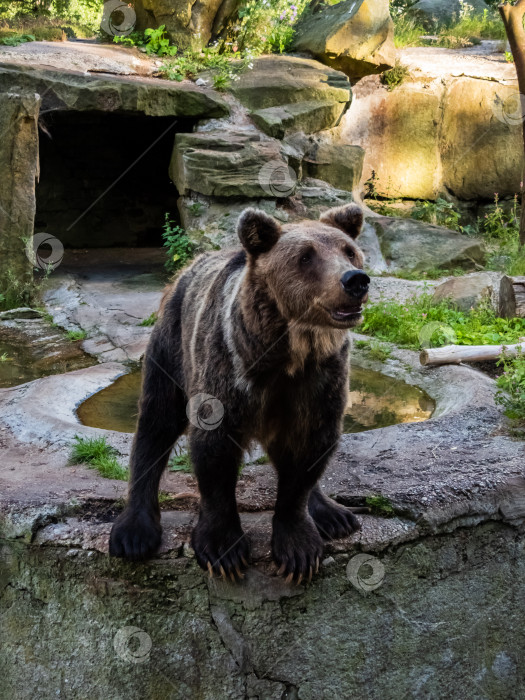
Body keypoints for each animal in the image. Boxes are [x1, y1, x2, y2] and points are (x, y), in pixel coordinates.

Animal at [108, 204, 368, 584]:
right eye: (305, 257)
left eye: (349, 251)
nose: (355, 280)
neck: (288, 353)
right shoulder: (227, 370)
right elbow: (214, 453)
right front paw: (223, 550)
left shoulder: (319, 380)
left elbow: (309, 452)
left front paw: (298, 549)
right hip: (172, 343)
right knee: (156, 421)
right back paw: (133, 531)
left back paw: (334, 514)